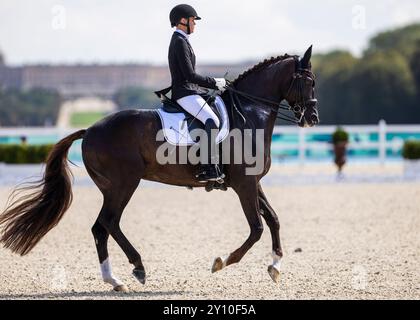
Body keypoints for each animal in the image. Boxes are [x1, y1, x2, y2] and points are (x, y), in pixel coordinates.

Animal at [0, 45, 316, 292]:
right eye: (309, 81)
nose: (312, 118)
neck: (249, 114)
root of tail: (89, 129)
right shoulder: (244, 185)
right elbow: (257, 228)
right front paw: (222, 262)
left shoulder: (253, 182)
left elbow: (273, 219)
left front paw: (275, 266)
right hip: (123, 184)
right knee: (109, 222)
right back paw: (137, 268)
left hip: (114, 188)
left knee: (101, 227)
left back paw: (114, 280)